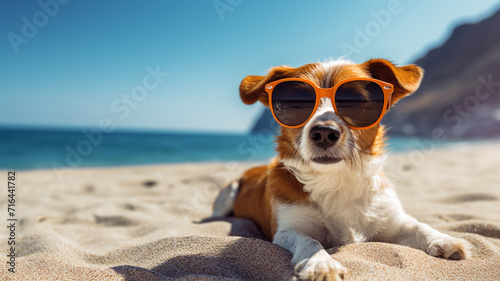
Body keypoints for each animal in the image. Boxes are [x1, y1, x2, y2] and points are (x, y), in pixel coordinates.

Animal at [213, 58, 470, 278]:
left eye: (356, 101)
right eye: (295, 104)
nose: (324, 132)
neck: (337, 179)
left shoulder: (390, 219)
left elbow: (419, 224)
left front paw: (444, 240)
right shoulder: (287, 229)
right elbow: (310, 241)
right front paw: (321, 263)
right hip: (228, 195)